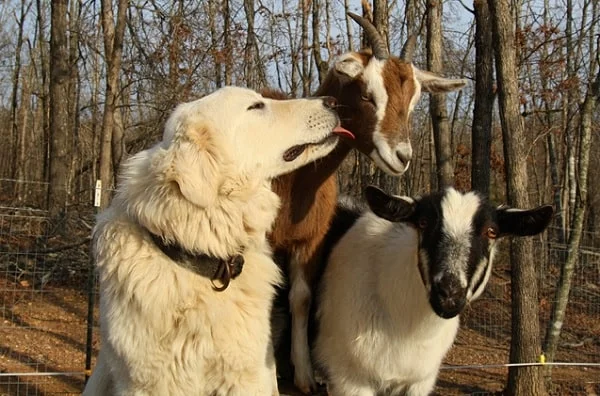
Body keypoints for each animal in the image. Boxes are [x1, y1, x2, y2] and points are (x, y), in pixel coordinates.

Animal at [268, 13, 468, 392]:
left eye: (413, 100)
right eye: (367, 94)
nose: (401, 156)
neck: (296, 181)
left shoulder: (310, 242)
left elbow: (300, 299)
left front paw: (304, 376)